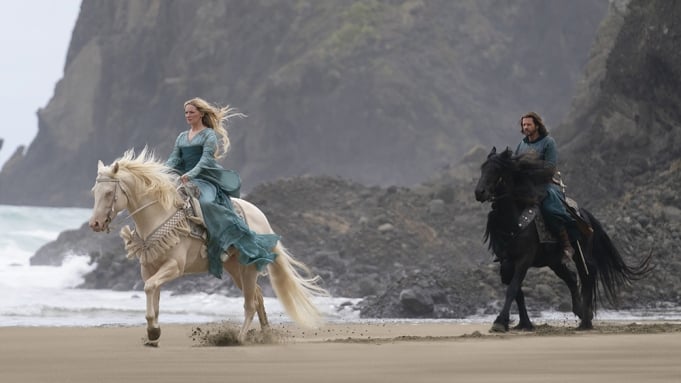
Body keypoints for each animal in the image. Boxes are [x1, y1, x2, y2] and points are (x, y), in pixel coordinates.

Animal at [88, 148, 330, 346]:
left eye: (109, 193)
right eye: (94, 192)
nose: (95, 224)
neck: (158, 215)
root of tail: (262, 217)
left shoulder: (174, 267)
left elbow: (149, 288)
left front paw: (153, 331)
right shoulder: (148, 268)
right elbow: (153, 296)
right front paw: (152, 334)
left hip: (249, 267)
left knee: (250, 303)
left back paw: (239, 338)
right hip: (235, 269)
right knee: (258, 297)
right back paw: (265, 334)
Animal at [472, 147, 652, 332]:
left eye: (496, 170)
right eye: (483, 168)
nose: (479, 192)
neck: (514, 221)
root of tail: (585, 214)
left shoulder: (524, 259)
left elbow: (513, 288)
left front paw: (500, 322)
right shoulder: (506, 262)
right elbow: (517, 291)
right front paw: (524, 323)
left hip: (579, 255)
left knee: (587, 274)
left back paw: (585, 320)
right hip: (554, 261)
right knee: (572, 277)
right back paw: (580, 312)